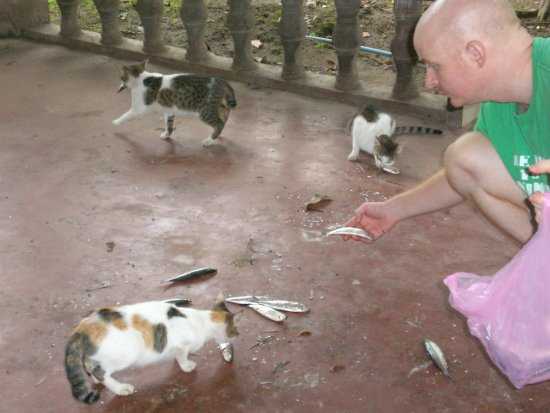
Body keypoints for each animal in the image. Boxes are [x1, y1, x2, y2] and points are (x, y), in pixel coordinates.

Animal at [64, 294, 237, 404]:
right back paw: (120, 388)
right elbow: (182, 355)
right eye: (235, 329)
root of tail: (83, 327)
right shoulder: (182, 344)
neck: (203, 321)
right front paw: (186, 366)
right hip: (126, 353)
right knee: (101, 373)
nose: (237, 335)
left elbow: (177, 355)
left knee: (90, 365)